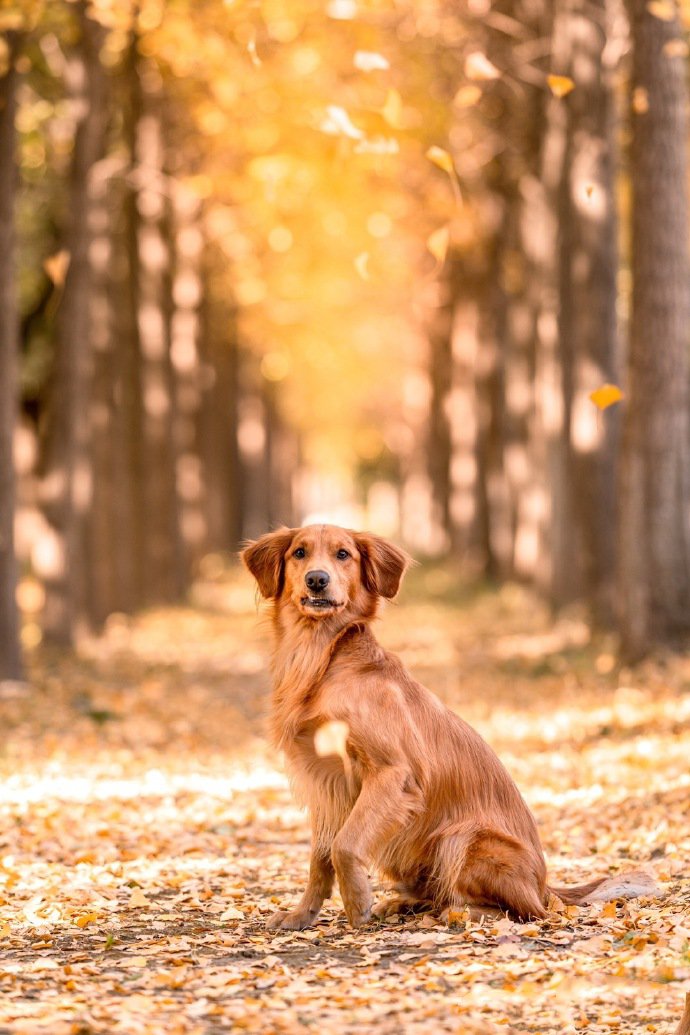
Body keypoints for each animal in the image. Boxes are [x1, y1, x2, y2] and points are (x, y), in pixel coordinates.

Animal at [244, 525, 657, 931]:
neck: (321, 658)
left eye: (343, 554)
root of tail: (545, 887)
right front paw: (301, 915)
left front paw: (357, 901)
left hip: (464, 836)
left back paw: (462, 913)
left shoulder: (393, 773)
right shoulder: (325, 783)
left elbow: (344, 845)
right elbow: (320, 856)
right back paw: (406, 904)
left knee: (526, 912)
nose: (317, 579)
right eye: (299, 552)